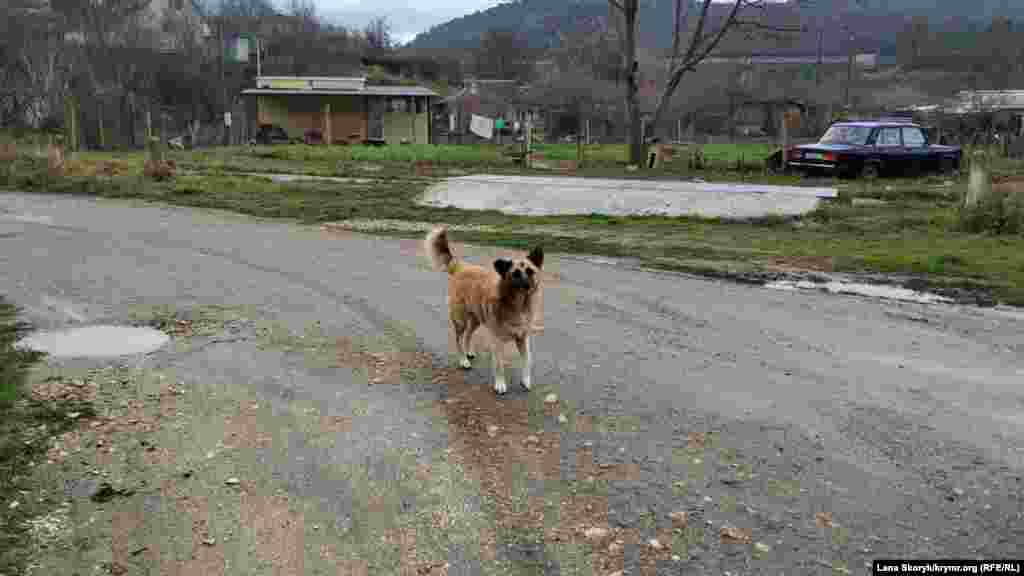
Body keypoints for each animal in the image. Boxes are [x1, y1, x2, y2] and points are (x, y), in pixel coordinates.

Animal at [423, 226, 544, 391]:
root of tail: (462, 267)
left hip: (476, 319)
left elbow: (527, 361)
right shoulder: (497, 341)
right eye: (515, 274)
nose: (527, 286)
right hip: (461, 320)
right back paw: (463, 360)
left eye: (530, 271)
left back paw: (469, 352)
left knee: (468, 334)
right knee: (459, 339)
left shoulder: (523, 339)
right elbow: (499, 364)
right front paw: (500, 384)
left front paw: (525, 381)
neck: (517, 304)